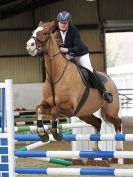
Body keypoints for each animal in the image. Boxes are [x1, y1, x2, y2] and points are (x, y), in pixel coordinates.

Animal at [26, 21, 122, 151]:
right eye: (33, 32)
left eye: (45, 33)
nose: (29, 46)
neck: (55, 77)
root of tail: (111, 80)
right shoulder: (48, 104)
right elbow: (39, 109)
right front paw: (42, 134)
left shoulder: (70, 108)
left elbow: (55, 111)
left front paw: (57, 134)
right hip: (84, 113)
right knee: (97, 122)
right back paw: (95, 146)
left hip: (109, 111)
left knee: (117, 122)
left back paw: (118, 146)